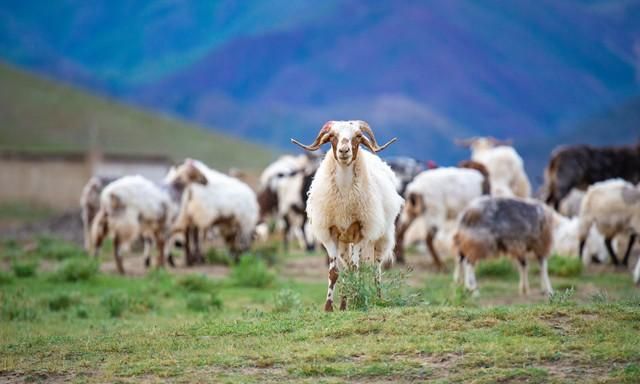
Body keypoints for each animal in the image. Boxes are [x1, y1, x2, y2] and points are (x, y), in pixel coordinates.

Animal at [292, 120, 402, 312]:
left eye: (358, 136)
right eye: (332, 136)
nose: (344, 151)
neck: (344, 197)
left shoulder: (360, 232)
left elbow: (357, 269)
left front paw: (357, 300)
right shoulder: (331, 233)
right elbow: (335, 272)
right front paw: (329, 307)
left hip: (380, 238)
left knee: (375, 269)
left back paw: (377, 299)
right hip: (344, 243)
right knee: (348, 268)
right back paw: (345, 304)